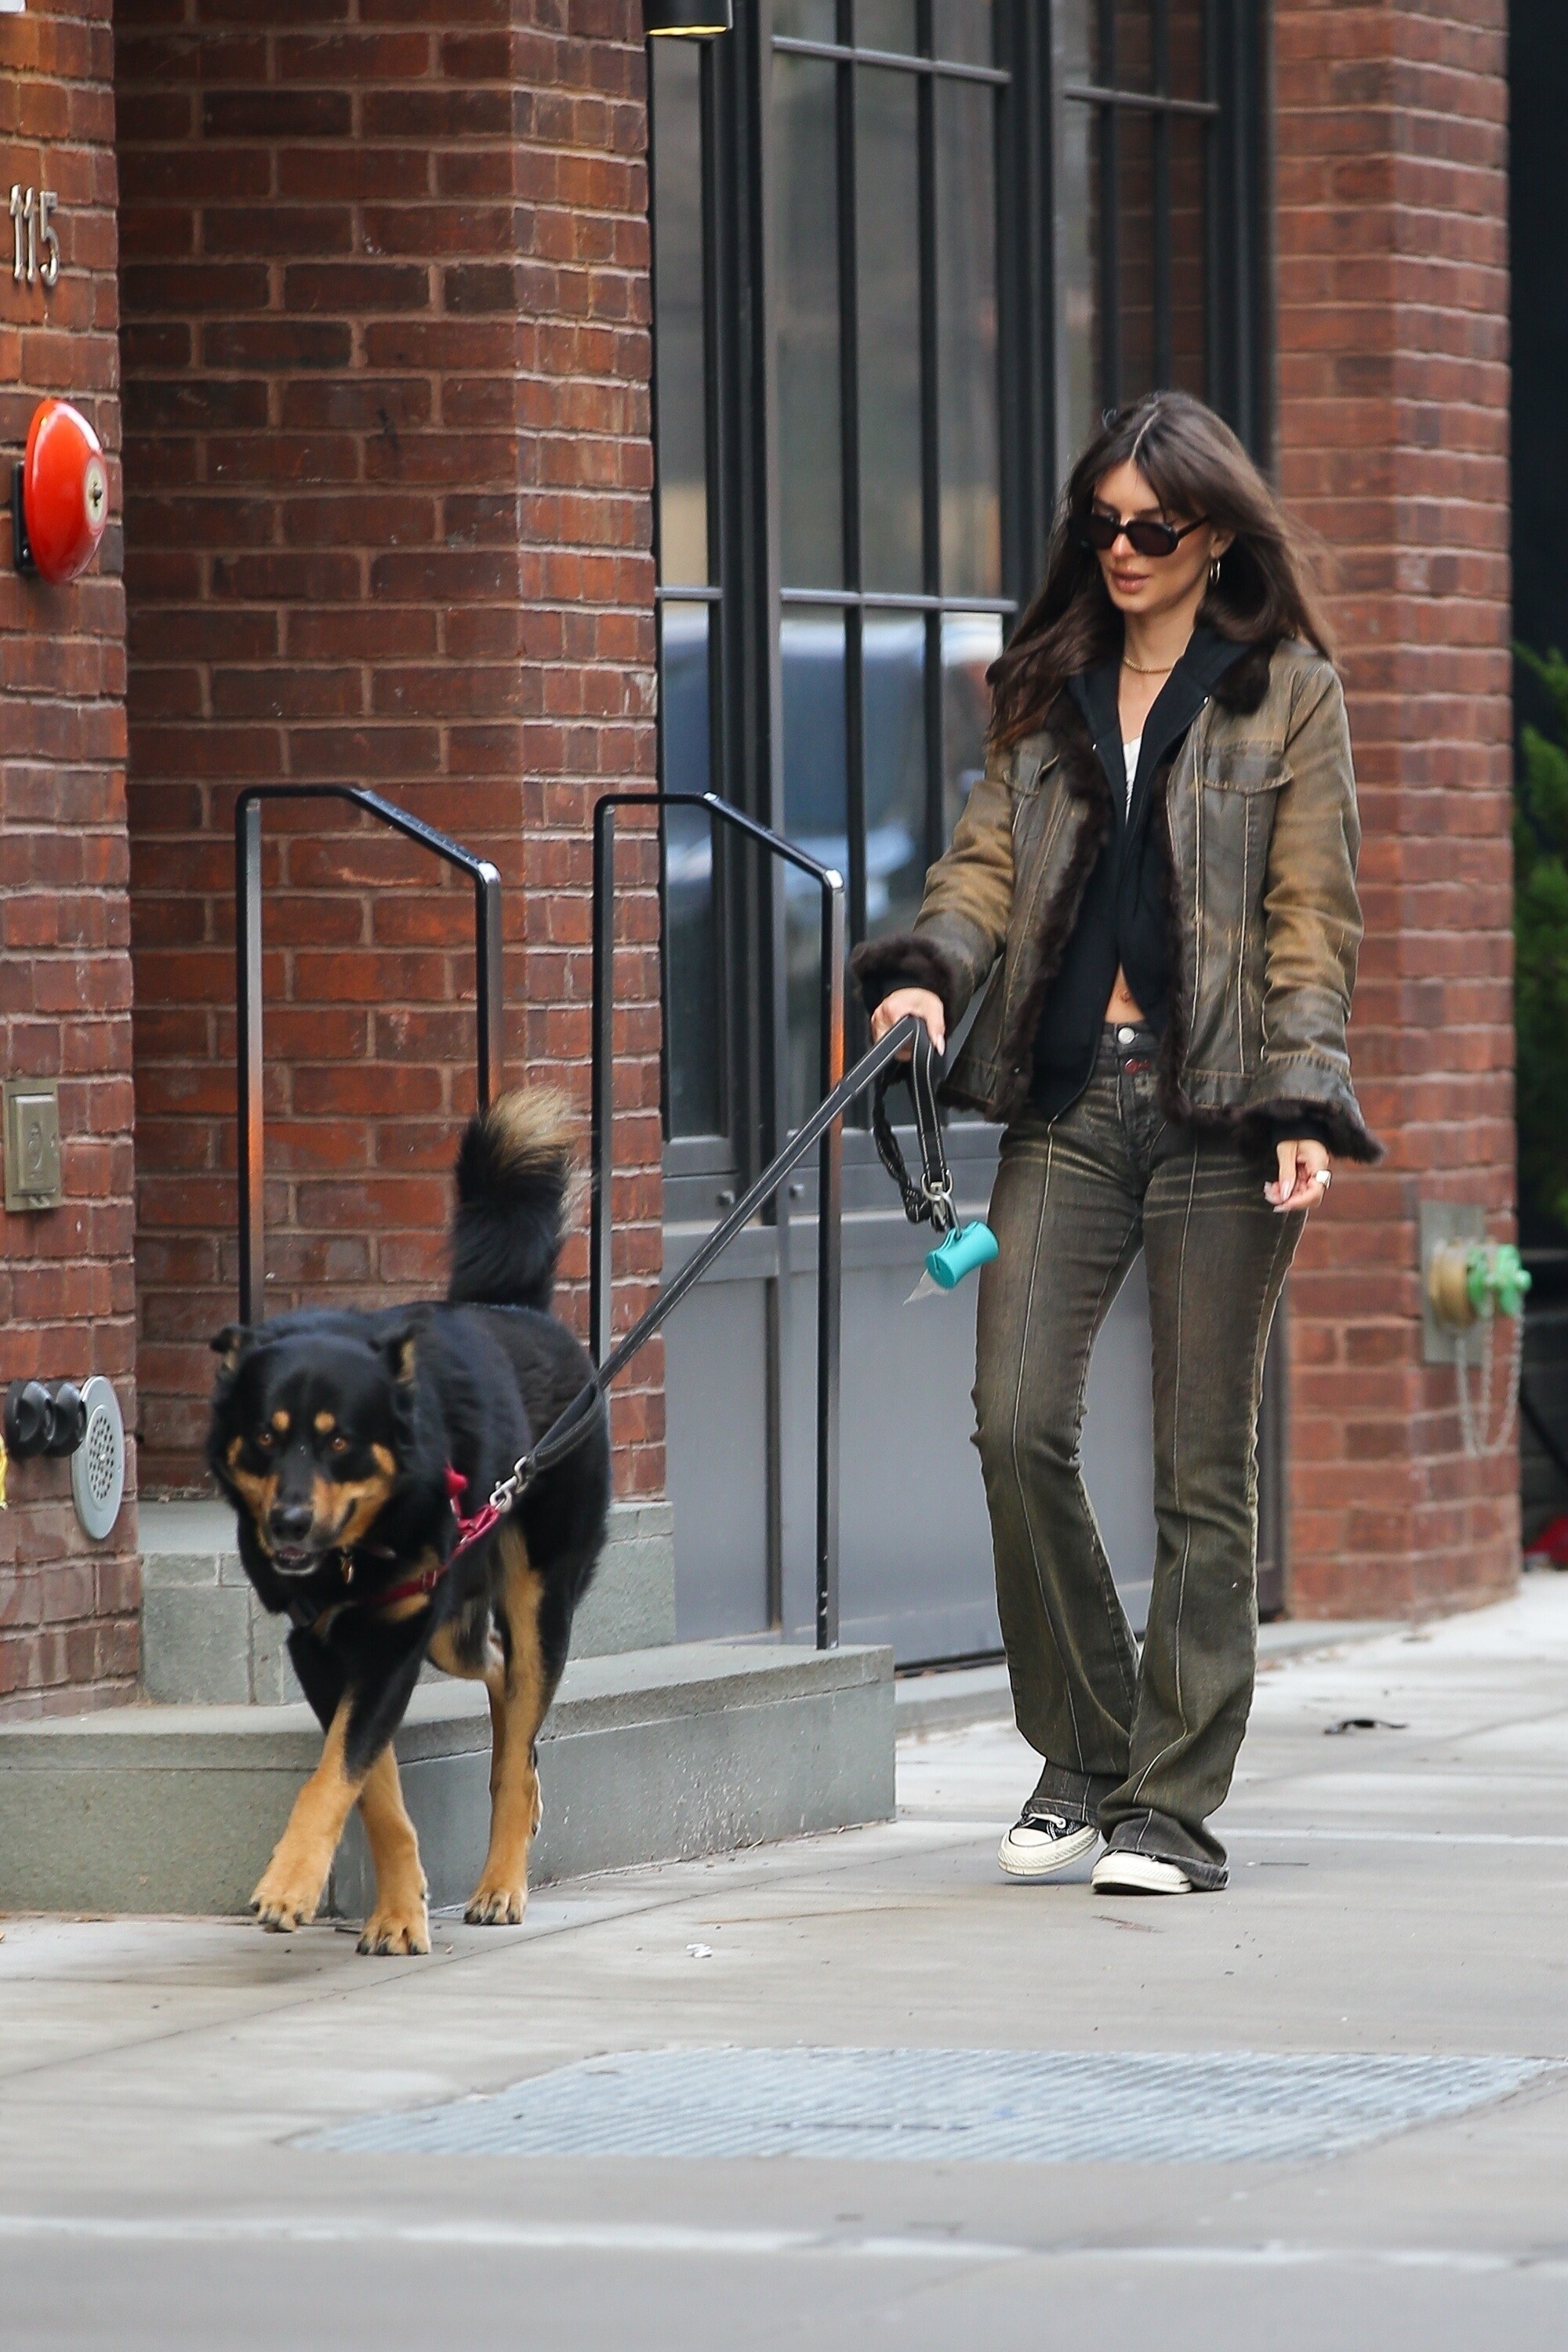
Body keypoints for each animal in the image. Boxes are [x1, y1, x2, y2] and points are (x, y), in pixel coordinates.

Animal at [207, 1089, 610, 1955]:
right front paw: (396, 1911)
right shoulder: (327, 1648)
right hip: (455, 1623)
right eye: (265, 1437)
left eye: (340, 1442)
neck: (354, 1555)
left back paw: (501, 1884)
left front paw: (290, 1882)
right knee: (499, 1683)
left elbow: (337, 1774)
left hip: (535, 1596)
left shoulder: (391, 1640)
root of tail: (516, 1309)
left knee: (519, 1716)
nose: (289, 1523)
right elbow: (368, 1786)